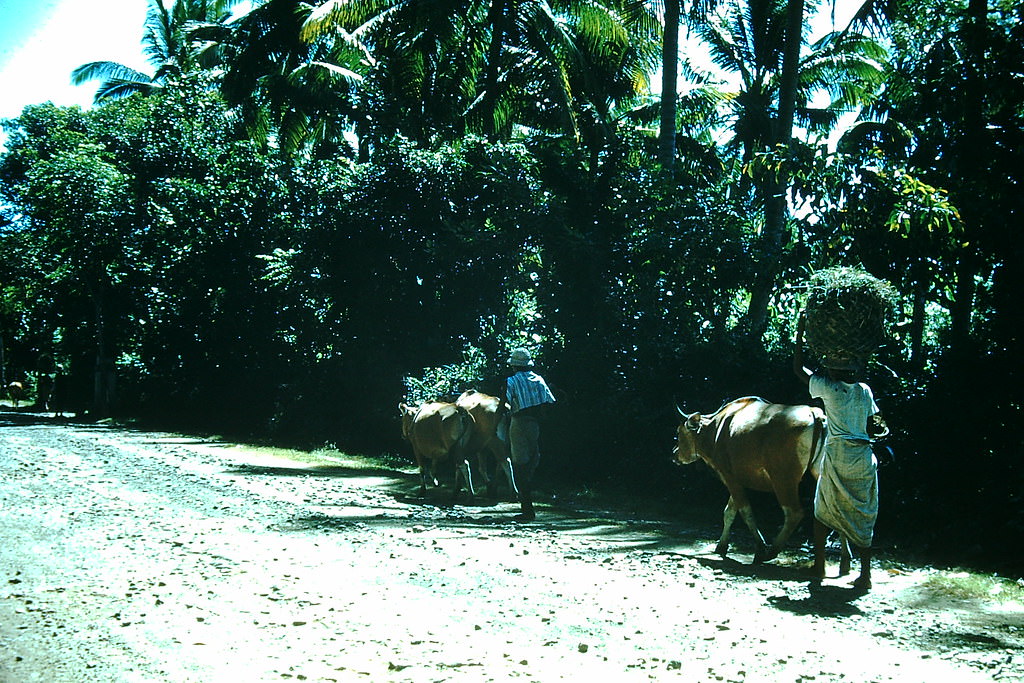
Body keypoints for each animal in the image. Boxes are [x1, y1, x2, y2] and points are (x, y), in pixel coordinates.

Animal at [671, 397, 831, 565]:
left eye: (678, 433)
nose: (674, 454)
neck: (715, 431)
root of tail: (815, 414)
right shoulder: (738, 480)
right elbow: (729, 512)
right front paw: (721, 546)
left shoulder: (730, 477)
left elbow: (745, 513)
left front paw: (760, 548)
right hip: (820, 473)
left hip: (783, 480)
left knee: (794, 513)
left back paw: (771, 552)